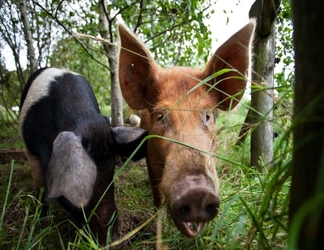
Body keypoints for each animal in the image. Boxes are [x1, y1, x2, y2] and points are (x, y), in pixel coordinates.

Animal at [117, 20, 256, 237]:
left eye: (208, 115)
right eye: (160, 116)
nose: (197, 192)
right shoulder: (149, 158)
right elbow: (157, 194)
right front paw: (157, 225)